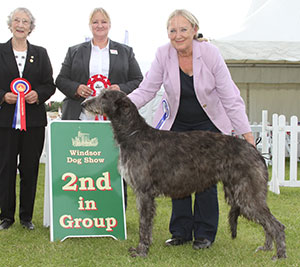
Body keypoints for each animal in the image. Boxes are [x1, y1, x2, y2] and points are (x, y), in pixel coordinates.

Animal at [81, 89, 286, 260]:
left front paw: (141, 251)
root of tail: (256, 151)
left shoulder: (144, 193)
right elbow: (145, 224)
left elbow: (144, 225)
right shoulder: (142, 194)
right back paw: (267, 248)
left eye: (105, 96)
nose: (83, 103)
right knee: (267, 222)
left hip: (247, 195)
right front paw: (143, 248)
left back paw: (280, 255)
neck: (134, 134)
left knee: (276, 225)